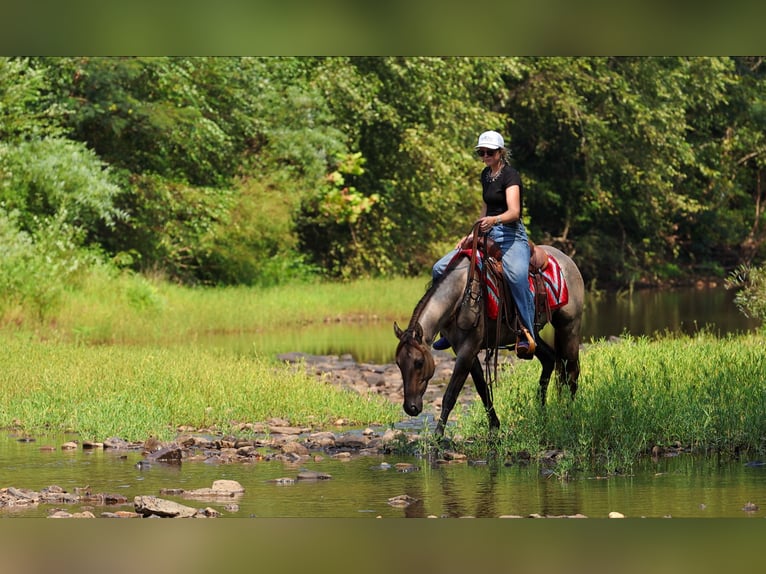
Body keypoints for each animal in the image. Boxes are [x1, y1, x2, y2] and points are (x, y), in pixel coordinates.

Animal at [393, 234, 584, 436]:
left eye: (419, 362)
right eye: (399, 363)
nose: (410, 408)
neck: (462, 294)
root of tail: (568, 261)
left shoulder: (468, 349)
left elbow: (451, 394)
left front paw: (437, 437)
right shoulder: (463, 349)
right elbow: (482, 388)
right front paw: (494, 426)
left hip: (569, 328)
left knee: (572, 372)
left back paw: (568, 416)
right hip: (532, 337)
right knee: (550, 360)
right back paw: (542, 416)